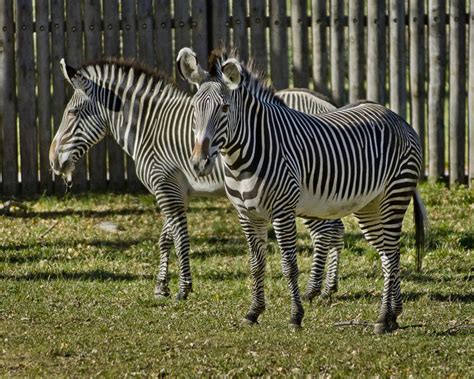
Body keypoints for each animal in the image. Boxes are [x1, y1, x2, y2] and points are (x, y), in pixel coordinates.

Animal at [49, 57, 344, 302]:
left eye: (72, 113)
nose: (53, 162)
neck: (150, 127)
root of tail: (327, 105)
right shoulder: (176, 191)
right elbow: (166, 238)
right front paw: (161, 286)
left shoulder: (165, 187)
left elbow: (180, 239)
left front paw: (183, 289)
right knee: (335, 229)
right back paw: (328, 288)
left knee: (323, 233)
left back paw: (313, 290)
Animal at [176, 47, 428, 336]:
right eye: (194, 108)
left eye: (224, 108)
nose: (199, 163)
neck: (242, 158)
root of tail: (396, 115)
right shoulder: (247, 215)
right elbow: (256, 265)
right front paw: (253, 312)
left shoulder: (282, 212)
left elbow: (289, 266)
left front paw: (295, 316)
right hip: (370, 206)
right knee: (389, 254)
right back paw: (392, 316)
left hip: (394, 195)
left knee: (391, 254)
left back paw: (382, 317)